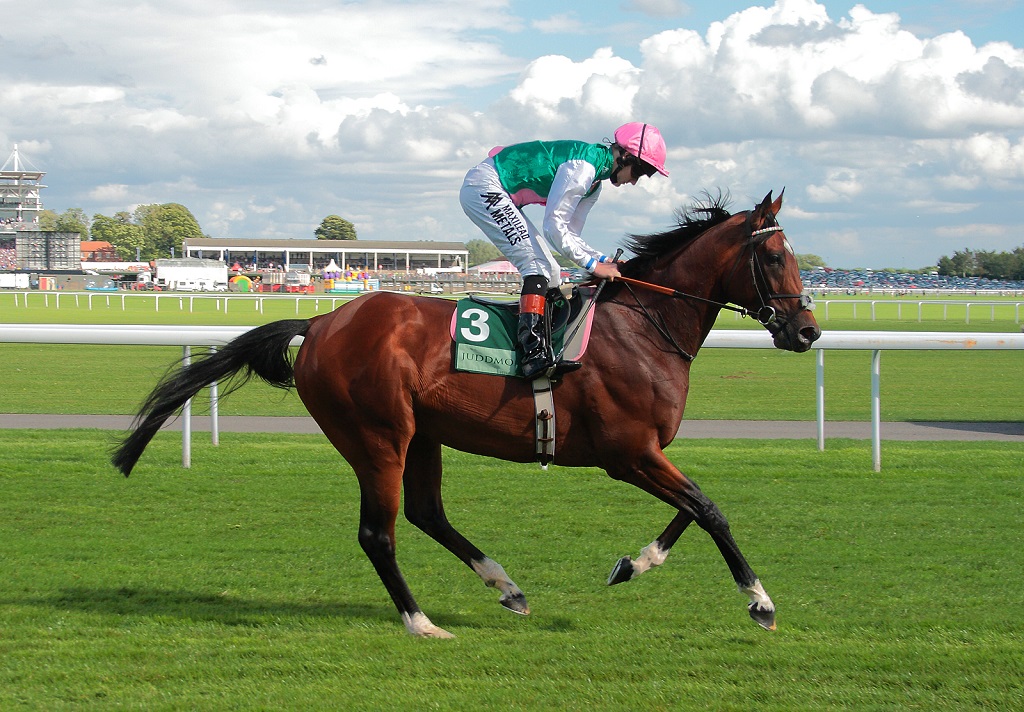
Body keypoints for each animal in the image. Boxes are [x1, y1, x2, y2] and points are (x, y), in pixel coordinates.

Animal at [112, 189, 819, 639]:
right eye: (775, 257)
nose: (808, 331)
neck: (644, 328)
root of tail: (319, 323)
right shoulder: (628, 454)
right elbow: (709, 508)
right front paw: (760, 603)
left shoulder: (642, 453)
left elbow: (693, 508)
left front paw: (631, 564)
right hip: (377, 434)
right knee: (378, 532)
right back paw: (421, 622)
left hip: (423, 433)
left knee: (425, 513)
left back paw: (506, 586)